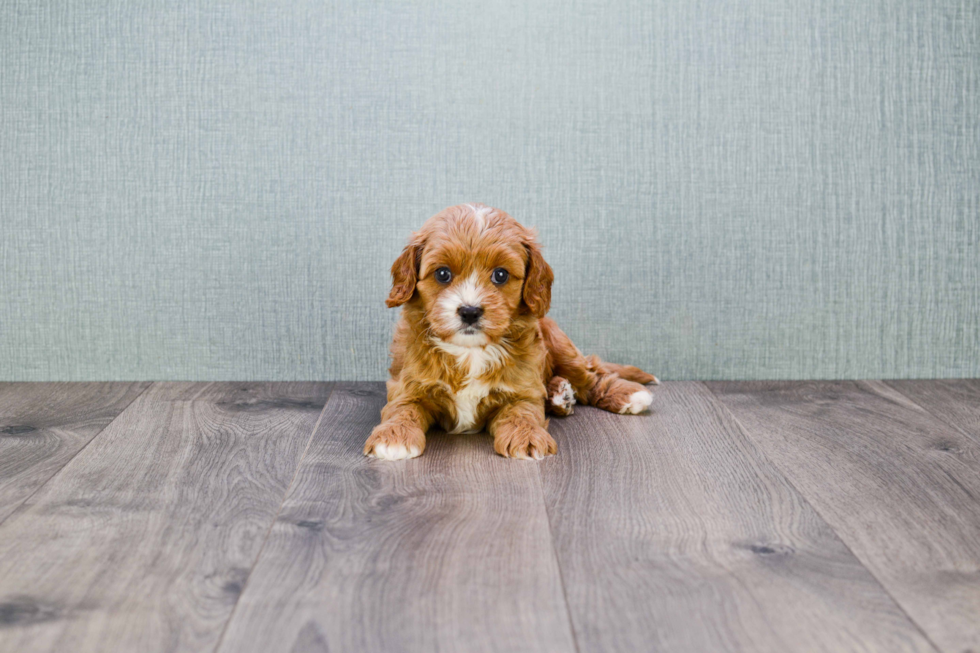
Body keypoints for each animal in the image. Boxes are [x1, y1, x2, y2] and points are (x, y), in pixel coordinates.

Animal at [368, 201, 660, 460]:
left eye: (500, 275)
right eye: (442, 274)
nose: (470, 311)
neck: (470, 352)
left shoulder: (522, 391)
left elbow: (522, 413)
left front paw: (527, 437)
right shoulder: (407, 386)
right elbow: (402, 409)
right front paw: (393, 437)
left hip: (560, 344)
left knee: (591, 374)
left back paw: (625, 394)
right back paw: (561, 396)